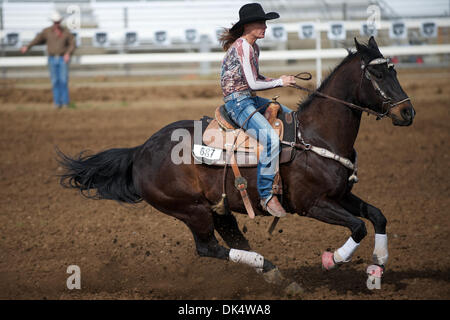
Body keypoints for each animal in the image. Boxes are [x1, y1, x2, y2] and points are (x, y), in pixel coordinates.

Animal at [59, 37, 414, 288]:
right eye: (377, 73)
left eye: (394, 69)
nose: (407, 112)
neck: (314, 135)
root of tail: (141, 151)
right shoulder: (313, 204)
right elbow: (357, 227)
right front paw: (333, 260)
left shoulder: (341, 195)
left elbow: (377, 217)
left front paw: (377, 266)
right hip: (191, 210)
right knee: (209, 249)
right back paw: (271, 270)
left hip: (218, 208)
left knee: (233, 241)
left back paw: (276, 276)